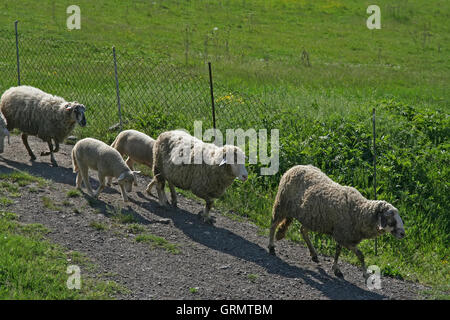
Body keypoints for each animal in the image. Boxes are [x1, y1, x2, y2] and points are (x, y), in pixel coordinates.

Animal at [268, 165, 406, 280]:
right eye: (390, 218)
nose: (403, 234)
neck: (359, 212)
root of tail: (294, 167)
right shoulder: (344, 236)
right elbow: (358, 254)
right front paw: (364, 274)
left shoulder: (343, 235)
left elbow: (341, 252)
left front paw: (337, 269)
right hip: (282, 203)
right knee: (273, 225)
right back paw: (271, 247)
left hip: (310, 217)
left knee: (303, 231)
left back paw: (314, 254)